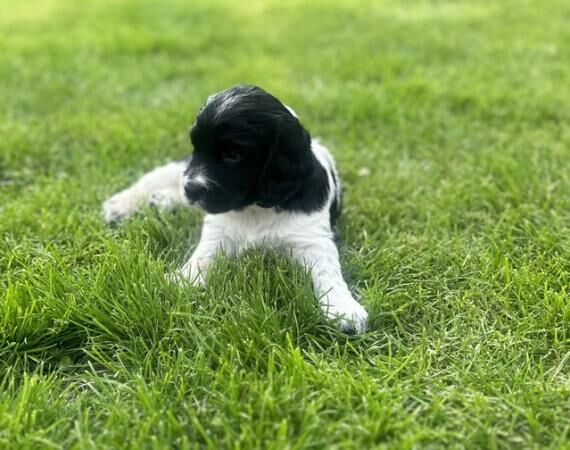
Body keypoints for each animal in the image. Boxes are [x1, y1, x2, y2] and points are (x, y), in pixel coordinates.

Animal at [103, 85, 368, 334]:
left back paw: (161, 200)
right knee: (152, 178)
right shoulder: (218, 228)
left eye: (233, 155)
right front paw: (182, 280)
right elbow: (202, 256)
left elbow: (328, 270)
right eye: (197, 147)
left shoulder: (311, 237)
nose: (192, 189)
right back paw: (120, 206)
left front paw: (343, 308)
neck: (254, 205)